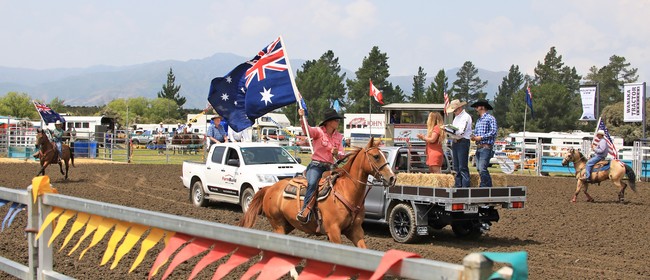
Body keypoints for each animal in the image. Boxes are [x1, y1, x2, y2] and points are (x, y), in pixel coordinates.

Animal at [239, 138, 394, 247]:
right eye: (376, 156)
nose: (392, 177)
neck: (346, 192)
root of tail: (270, 188)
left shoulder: (356, 231)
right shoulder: (333, 232)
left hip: (287, 225)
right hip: (278, 224)